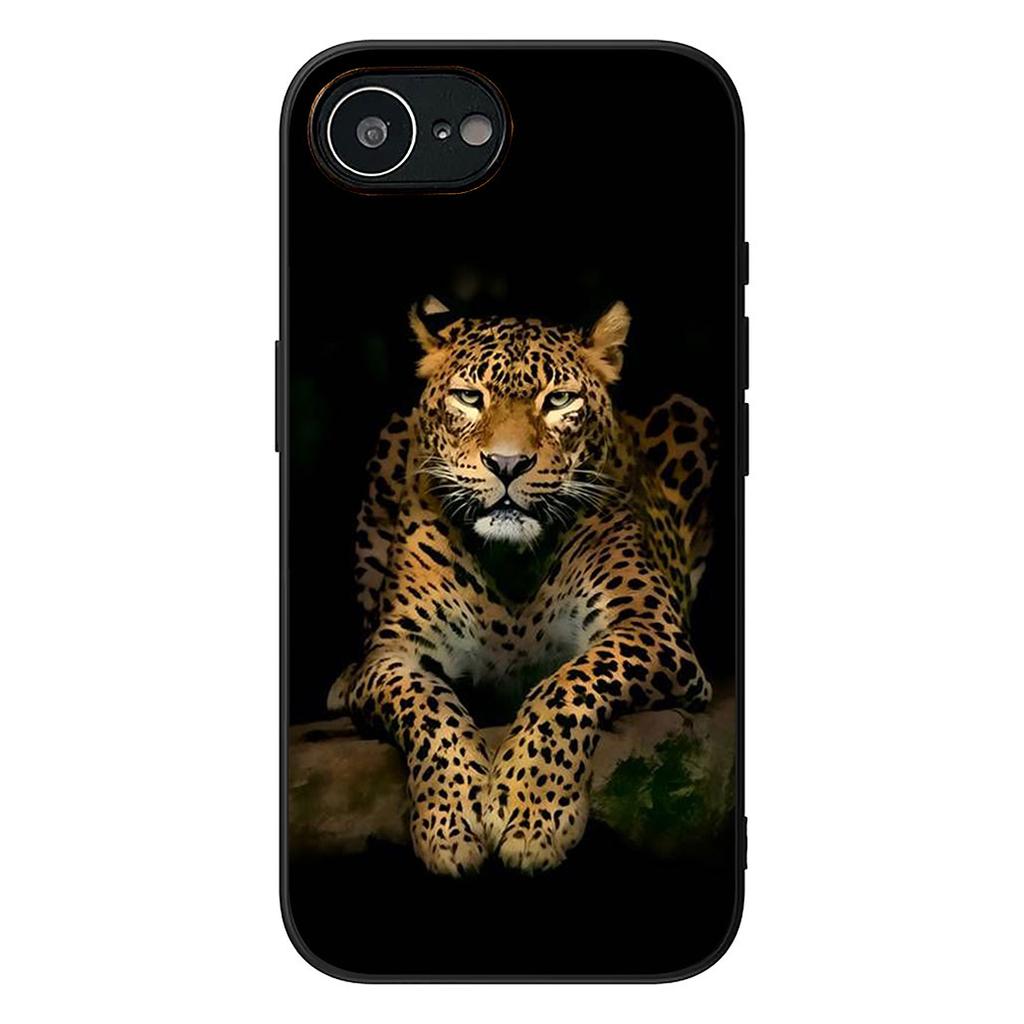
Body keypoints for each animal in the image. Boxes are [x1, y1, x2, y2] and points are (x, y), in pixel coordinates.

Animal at [327, 296, 718, 876]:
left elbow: (567, 685)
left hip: (690, 414)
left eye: (559, 400)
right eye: (470, 397)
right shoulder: (396, 653)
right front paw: (451, 823)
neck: (511, 562)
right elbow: (429, 708)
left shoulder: (651, 627)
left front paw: (531, 816)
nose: (507, 464)